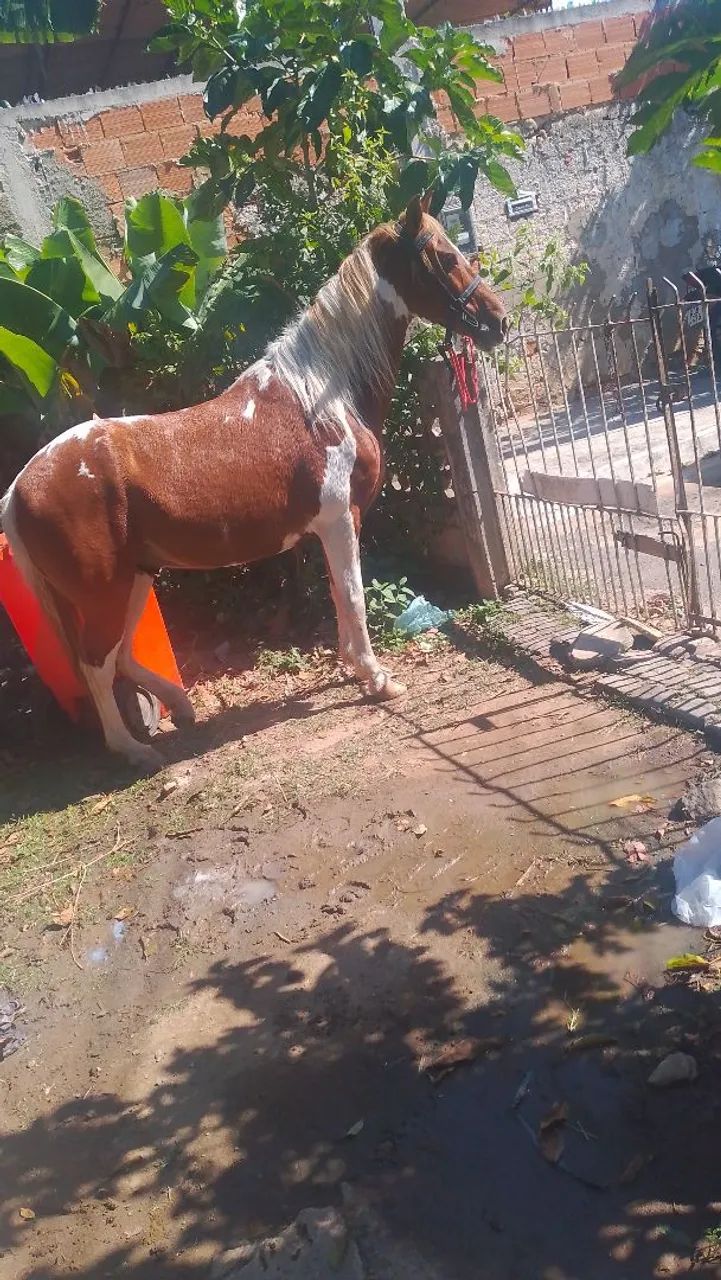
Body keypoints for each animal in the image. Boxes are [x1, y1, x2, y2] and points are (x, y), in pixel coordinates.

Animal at [1, 192, 507, 771]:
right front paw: (377, 679)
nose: (498, 320)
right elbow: (353, 595)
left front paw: (351, 669)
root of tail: (19, 488)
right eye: (444, 257)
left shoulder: (326, 529)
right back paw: (132, 749)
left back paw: (182, 708)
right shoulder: (342, 520)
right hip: (103, 590)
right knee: (96, 664)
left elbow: (339, 597)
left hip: (134, 578)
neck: (323, 398)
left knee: (121, 654)